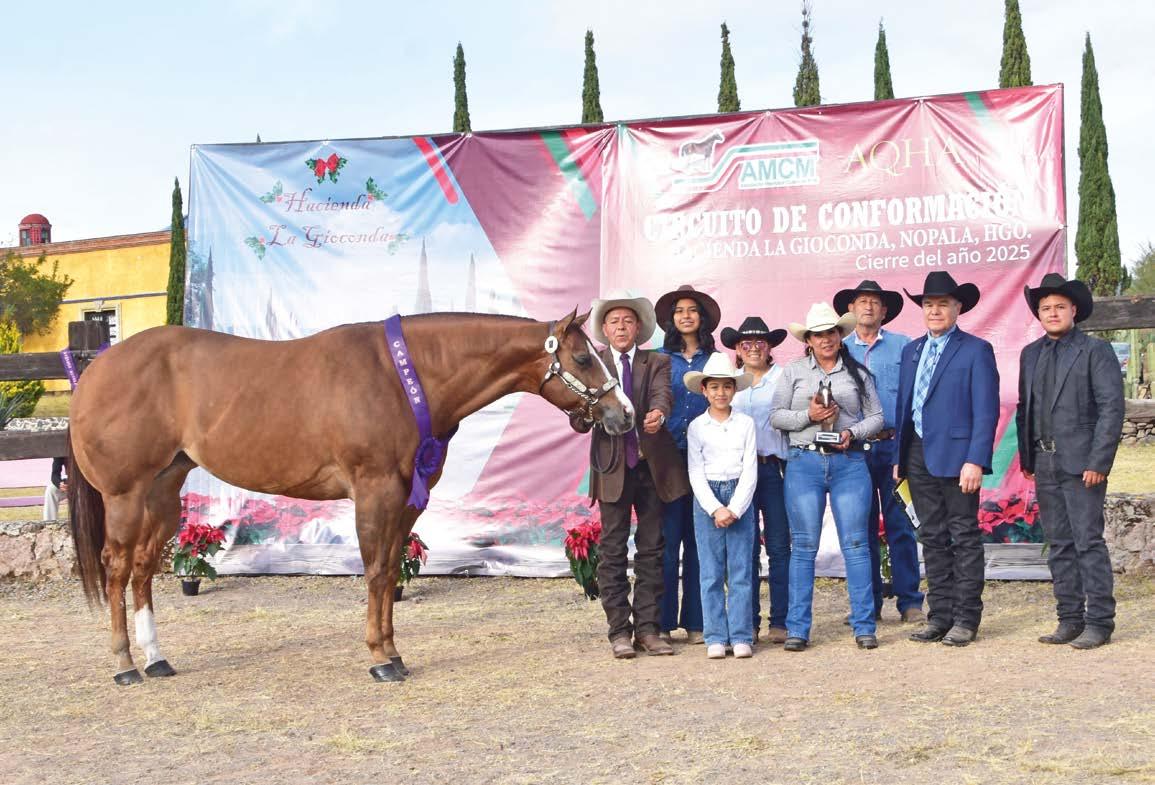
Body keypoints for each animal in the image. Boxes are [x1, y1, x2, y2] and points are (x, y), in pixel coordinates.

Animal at [67, 309, 633, 685]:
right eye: (584, 356)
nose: (623, 414)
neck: (403, 377)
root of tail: (94, 370)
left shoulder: (407, 500)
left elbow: (389, 568)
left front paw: (393, 653)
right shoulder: (374, 491)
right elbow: (378, 571)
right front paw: (380, 659)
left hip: (164, 493)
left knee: (143, 568)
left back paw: (156, 659)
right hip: (125, 495)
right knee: (117, 566)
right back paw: (124, 665)